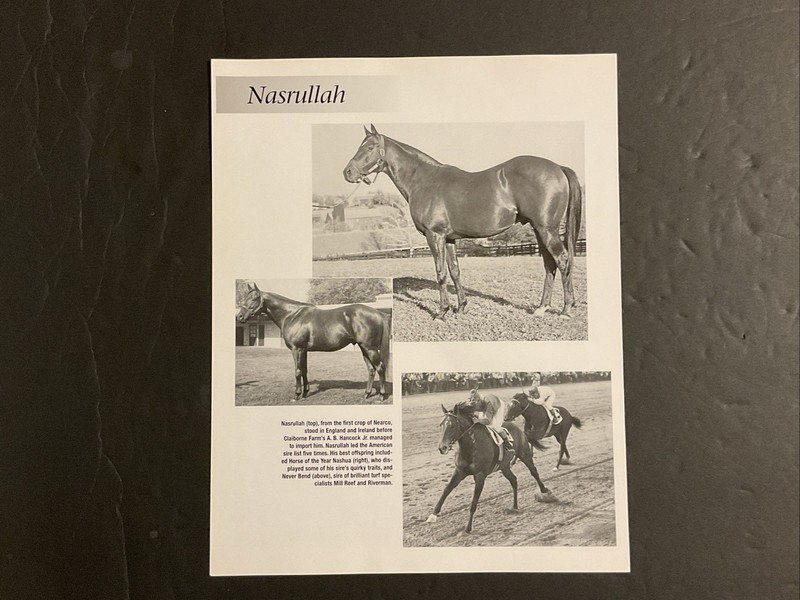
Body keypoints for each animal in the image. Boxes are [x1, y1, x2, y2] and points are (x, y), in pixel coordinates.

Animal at [236, 281, 391, 401]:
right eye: (245, 297)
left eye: (255, 297)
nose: (240, 316)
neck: (292, 315)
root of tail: (378, 313)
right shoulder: (303, 350)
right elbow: (304, 370)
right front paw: (305, 393)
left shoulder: (297, 349)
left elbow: (297, 371)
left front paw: (296, 395)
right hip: (364, 348)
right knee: (371, 370)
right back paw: (366, 394)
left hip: (370, 348)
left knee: (380, 368)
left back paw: (381, 396)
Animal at [343, 125, 583, 320]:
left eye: (370, 147)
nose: (348, 172)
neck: (424, 180)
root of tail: (558, 167)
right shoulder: (449, 238)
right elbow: (454, 271)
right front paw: (460, 307)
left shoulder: (434, 235)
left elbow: (440, 273)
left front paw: (442, 312)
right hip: (539, 229)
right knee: (549, 264)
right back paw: (542, 308)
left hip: (547, 230)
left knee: (562, 260)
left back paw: (566, 309)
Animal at [426, 401, 554, 534]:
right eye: (441, 425)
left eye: (452, 426)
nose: (442, 448)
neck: (471, 447)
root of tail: (520, 430)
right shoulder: (459, 471)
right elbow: (446, 490)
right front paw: (433, 515)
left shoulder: (480, 476)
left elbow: (474, 502)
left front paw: (468, 527)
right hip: (504, 467)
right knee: (513, 480)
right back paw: (514, 506)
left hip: (525, 455)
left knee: (534, 472)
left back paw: (544, 491)